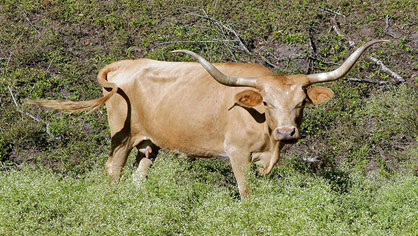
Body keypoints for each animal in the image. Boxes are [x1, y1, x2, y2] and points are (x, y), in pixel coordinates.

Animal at [27, 40, 388, 195]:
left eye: (301, 102)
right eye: (266, 102)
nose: (287, 132)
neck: (268, 139)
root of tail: (124, 64)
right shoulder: (238, 154)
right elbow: (246, 192)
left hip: (149, 144)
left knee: (138, 176)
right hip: (122, 136)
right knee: (113, 170)